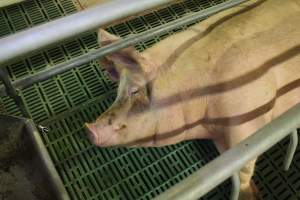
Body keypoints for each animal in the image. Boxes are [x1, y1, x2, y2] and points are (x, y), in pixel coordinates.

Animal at [84, 0, 300, 199]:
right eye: (118, 91)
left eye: (135, 91)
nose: (90, 129)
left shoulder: (250, 124)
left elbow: (243, 171)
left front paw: (251, 195)